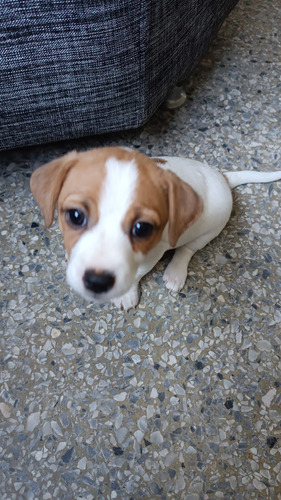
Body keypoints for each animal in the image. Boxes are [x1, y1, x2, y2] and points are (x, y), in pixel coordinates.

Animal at [30, 146, 280, 308]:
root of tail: (222, 177)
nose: (96, 281)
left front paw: (127, 294)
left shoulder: (154, 252)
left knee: (187, 249)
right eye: (75, 216)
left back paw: (175, 272)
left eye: (142, 229)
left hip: (211, 229)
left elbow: (139, 272)